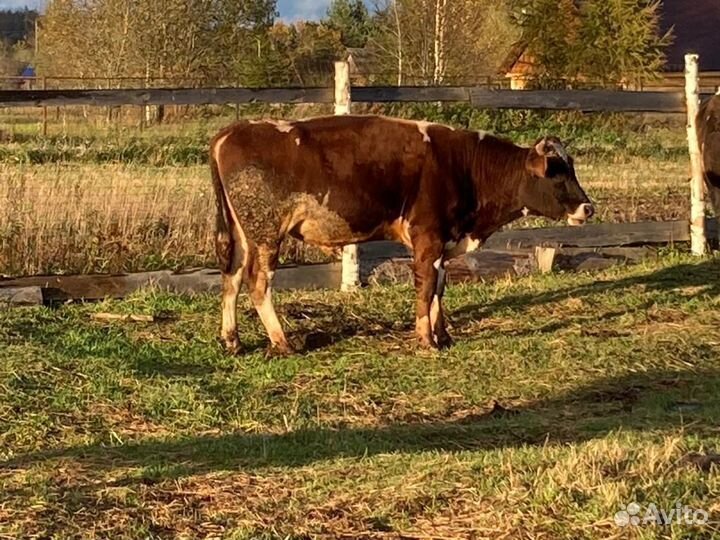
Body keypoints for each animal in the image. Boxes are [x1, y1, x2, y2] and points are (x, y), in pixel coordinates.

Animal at [210, 115, 593, 354]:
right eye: (556, 172)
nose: (588, 208)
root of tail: (231, 132)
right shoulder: (428, 236)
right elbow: (425, 288)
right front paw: (427, 339)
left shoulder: (444, 241)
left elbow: (439, 288)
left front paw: (444, 335)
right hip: (266, 233)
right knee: (257, 282)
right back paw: (282, 342)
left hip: (242, 234)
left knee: (231, 276)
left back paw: (233, 340)